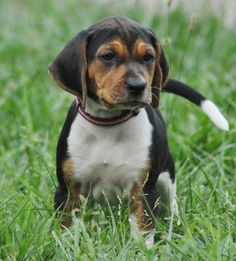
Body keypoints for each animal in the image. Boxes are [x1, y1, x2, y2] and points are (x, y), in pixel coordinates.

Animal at [48, 15, 229, 246]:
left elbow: (143, 233)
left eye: (148, 57)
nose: (138, 86)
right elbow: (66, 230)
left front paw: (143, 250)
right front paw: (66, 248)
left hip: (166, 179)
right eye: (108, 56)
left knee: (171, 205)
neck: (108, 124)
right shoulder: (69, 190)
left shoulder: (142, 190)